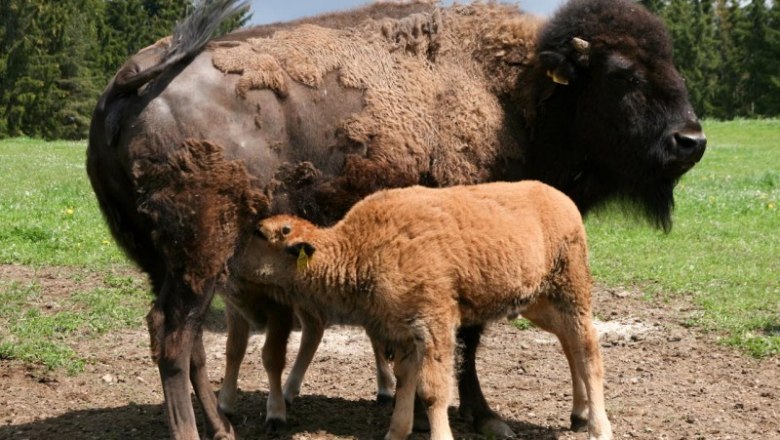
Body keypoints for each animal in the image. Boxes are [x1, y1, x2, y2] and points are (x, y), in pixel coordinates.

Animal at [87, 0, 705, 439]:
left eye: (672, 62)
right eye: (622, 74)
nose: (691, 140)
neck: (517, 92)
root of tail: (131, 77)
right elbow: (468, 341)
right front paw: (485, 417)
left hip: (171, 262)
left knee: (187, 342)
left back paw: (222, 428)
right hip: (201, 250)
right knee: (173, 337)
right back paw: (198, 433)